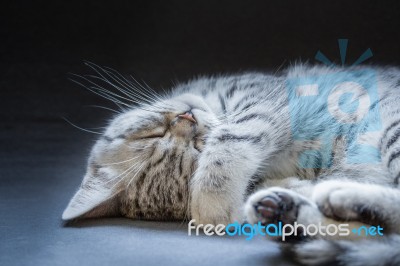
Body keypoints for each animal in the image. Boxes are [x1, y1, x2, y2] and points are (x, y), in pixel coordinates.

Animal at [62, 64, 400, 266]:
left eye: (154, 132)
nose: (188, 119)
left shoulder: (261, 100)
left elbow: (231, 136)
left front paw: (212, 201)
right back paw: (288, 211)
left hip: (391, 126)